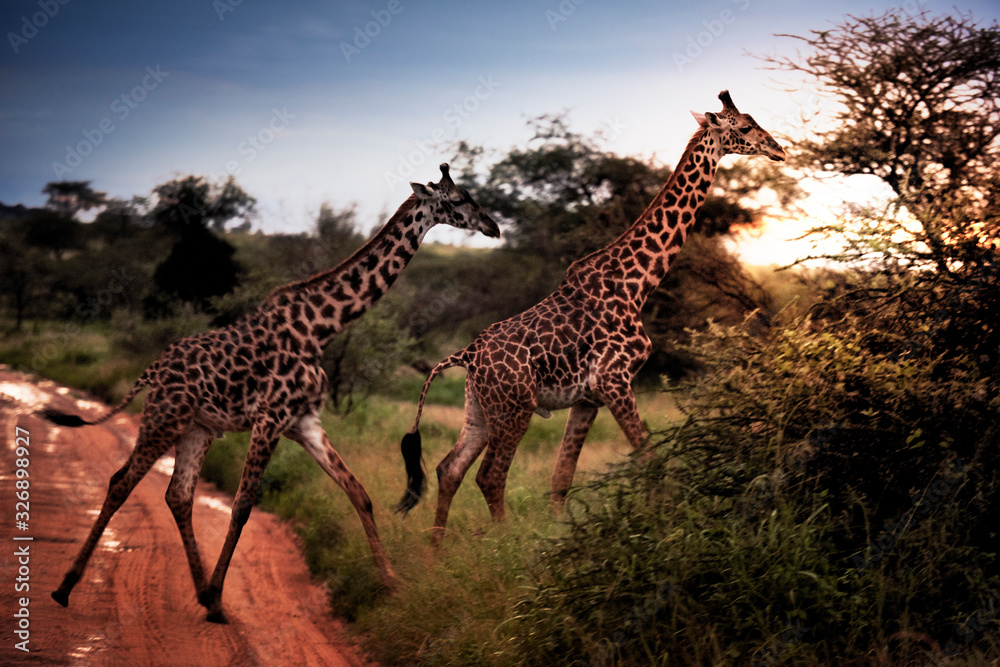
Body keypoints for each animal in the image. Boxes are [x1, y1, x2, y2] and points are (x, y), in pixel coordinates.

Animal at [40, 164, 499, 622]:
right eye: (458, 200)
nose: (492, 226)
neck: (322, 327)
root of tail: (153, 369)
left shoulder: (304, 422)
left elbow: (359, 494)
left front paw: (391, 585)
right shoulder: (270, 419)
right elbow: (243, 504)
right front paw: (220, 598)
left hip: (197, 427)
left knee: (178, 495)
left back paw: (197, 590)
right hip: (164, 416)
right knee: (121, 481)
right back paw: (65, 587)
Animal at [395, 91, 786, 545]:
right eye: (743, 126)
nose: (779, 149)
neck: (639, 283)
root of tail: (466, 356)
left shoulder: (587, 398)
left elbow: (561, 479)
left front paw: (562, 539)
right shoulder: (615, 381)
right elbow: (649, 460)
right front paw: (669, 531)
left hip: (479, 410)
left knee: (449, 469)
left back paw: (436, 550)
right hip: (515, 409)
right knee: (489, 476)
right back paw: (504, 544)